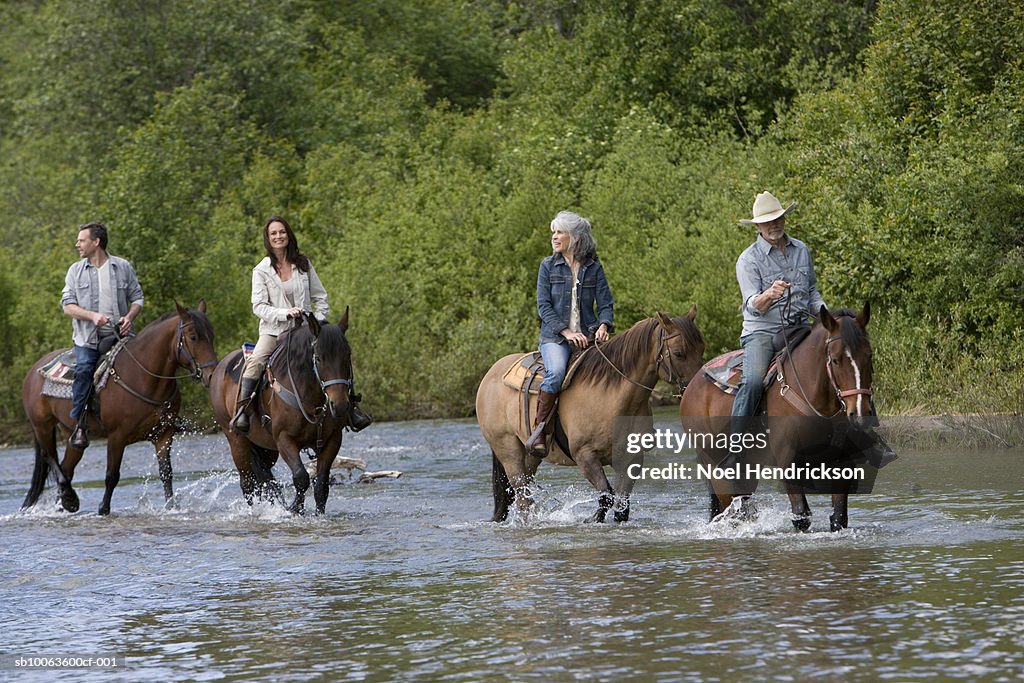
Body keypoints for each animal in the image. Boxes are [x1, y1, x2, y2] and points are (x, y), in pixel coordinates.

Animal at [23, 301, 218, 516]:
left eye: (212, 335)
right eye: (193, 336)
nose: (211, 374)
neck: (144, 378)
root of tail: (33, 370)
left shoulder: (164, 434)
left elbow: (166, 473)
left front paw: (171, 507)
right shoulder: (117, 437)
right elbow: (112, 475)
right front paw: (103, 509)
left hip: (70, 434)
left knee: (66, 467)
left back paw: (64, 502)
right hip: (42, 426)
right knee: (49, 457)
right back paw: (70, 500)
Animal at [206, 309, 356, 511]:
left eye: (347, 355)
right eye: (318, 358)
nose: (339, 405)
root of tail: (219, 368)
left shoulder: (332, 439)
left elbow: (321, 486)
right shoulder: (284, 439)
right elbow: (301, 478)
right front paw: (295, 510)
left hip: (265, 448)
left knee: (264, 481)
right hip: (237, 441)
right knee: (247, 482)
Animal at [477, 309, 704, 524]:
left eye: (701, 349)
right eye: (679, 353)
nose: (695, 391)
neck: (611, 397)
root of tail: (491, 373)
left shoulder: (631, 457)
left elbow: (622, 505)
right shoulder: (585, 455)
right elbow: (606, 496)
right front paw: (592, 519)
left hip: (531, 455)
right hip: (508, 450)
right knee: (521, 493)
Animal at [684, 305, 876, 532]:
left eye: (869, 356)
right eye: (836, 359)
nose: (860, 414)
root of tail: (693, 384)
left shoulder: (842, 461)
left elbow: (839, 517)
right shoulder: (788, 460)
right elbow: (801, 515)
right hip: (714, 465)